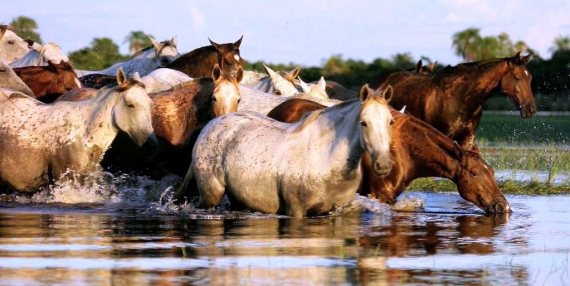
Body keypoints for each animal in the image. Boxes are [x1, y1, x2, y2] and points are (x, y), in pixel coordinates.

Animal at [175, 84, 392, 218]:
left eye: (390, 121)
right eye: (363, 122)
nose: (383, 165)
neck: (326, 158)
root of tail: (210, 125)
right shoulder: (296, 210)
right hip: (211, 195)